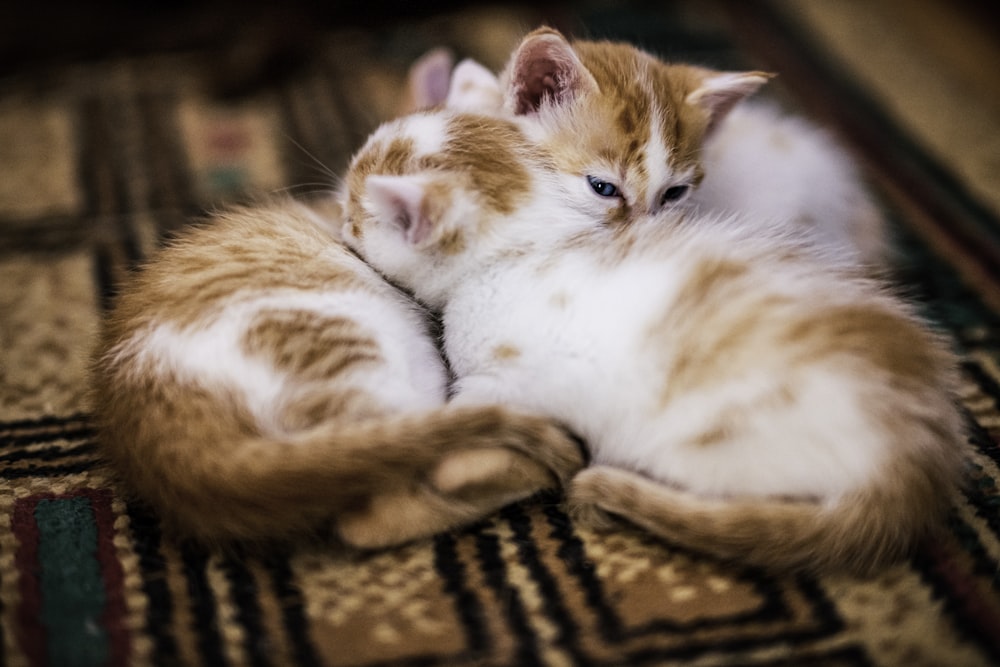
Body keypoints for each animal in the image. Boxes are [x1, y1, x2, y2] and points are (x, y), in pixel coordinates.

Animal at [340, 108, 964, 576]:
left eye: (355, 213)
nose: (340, 215)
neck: (529, 244)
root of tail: (918, 461)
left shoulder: (507, 380)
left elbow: (472, 428)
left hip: (703, 445)